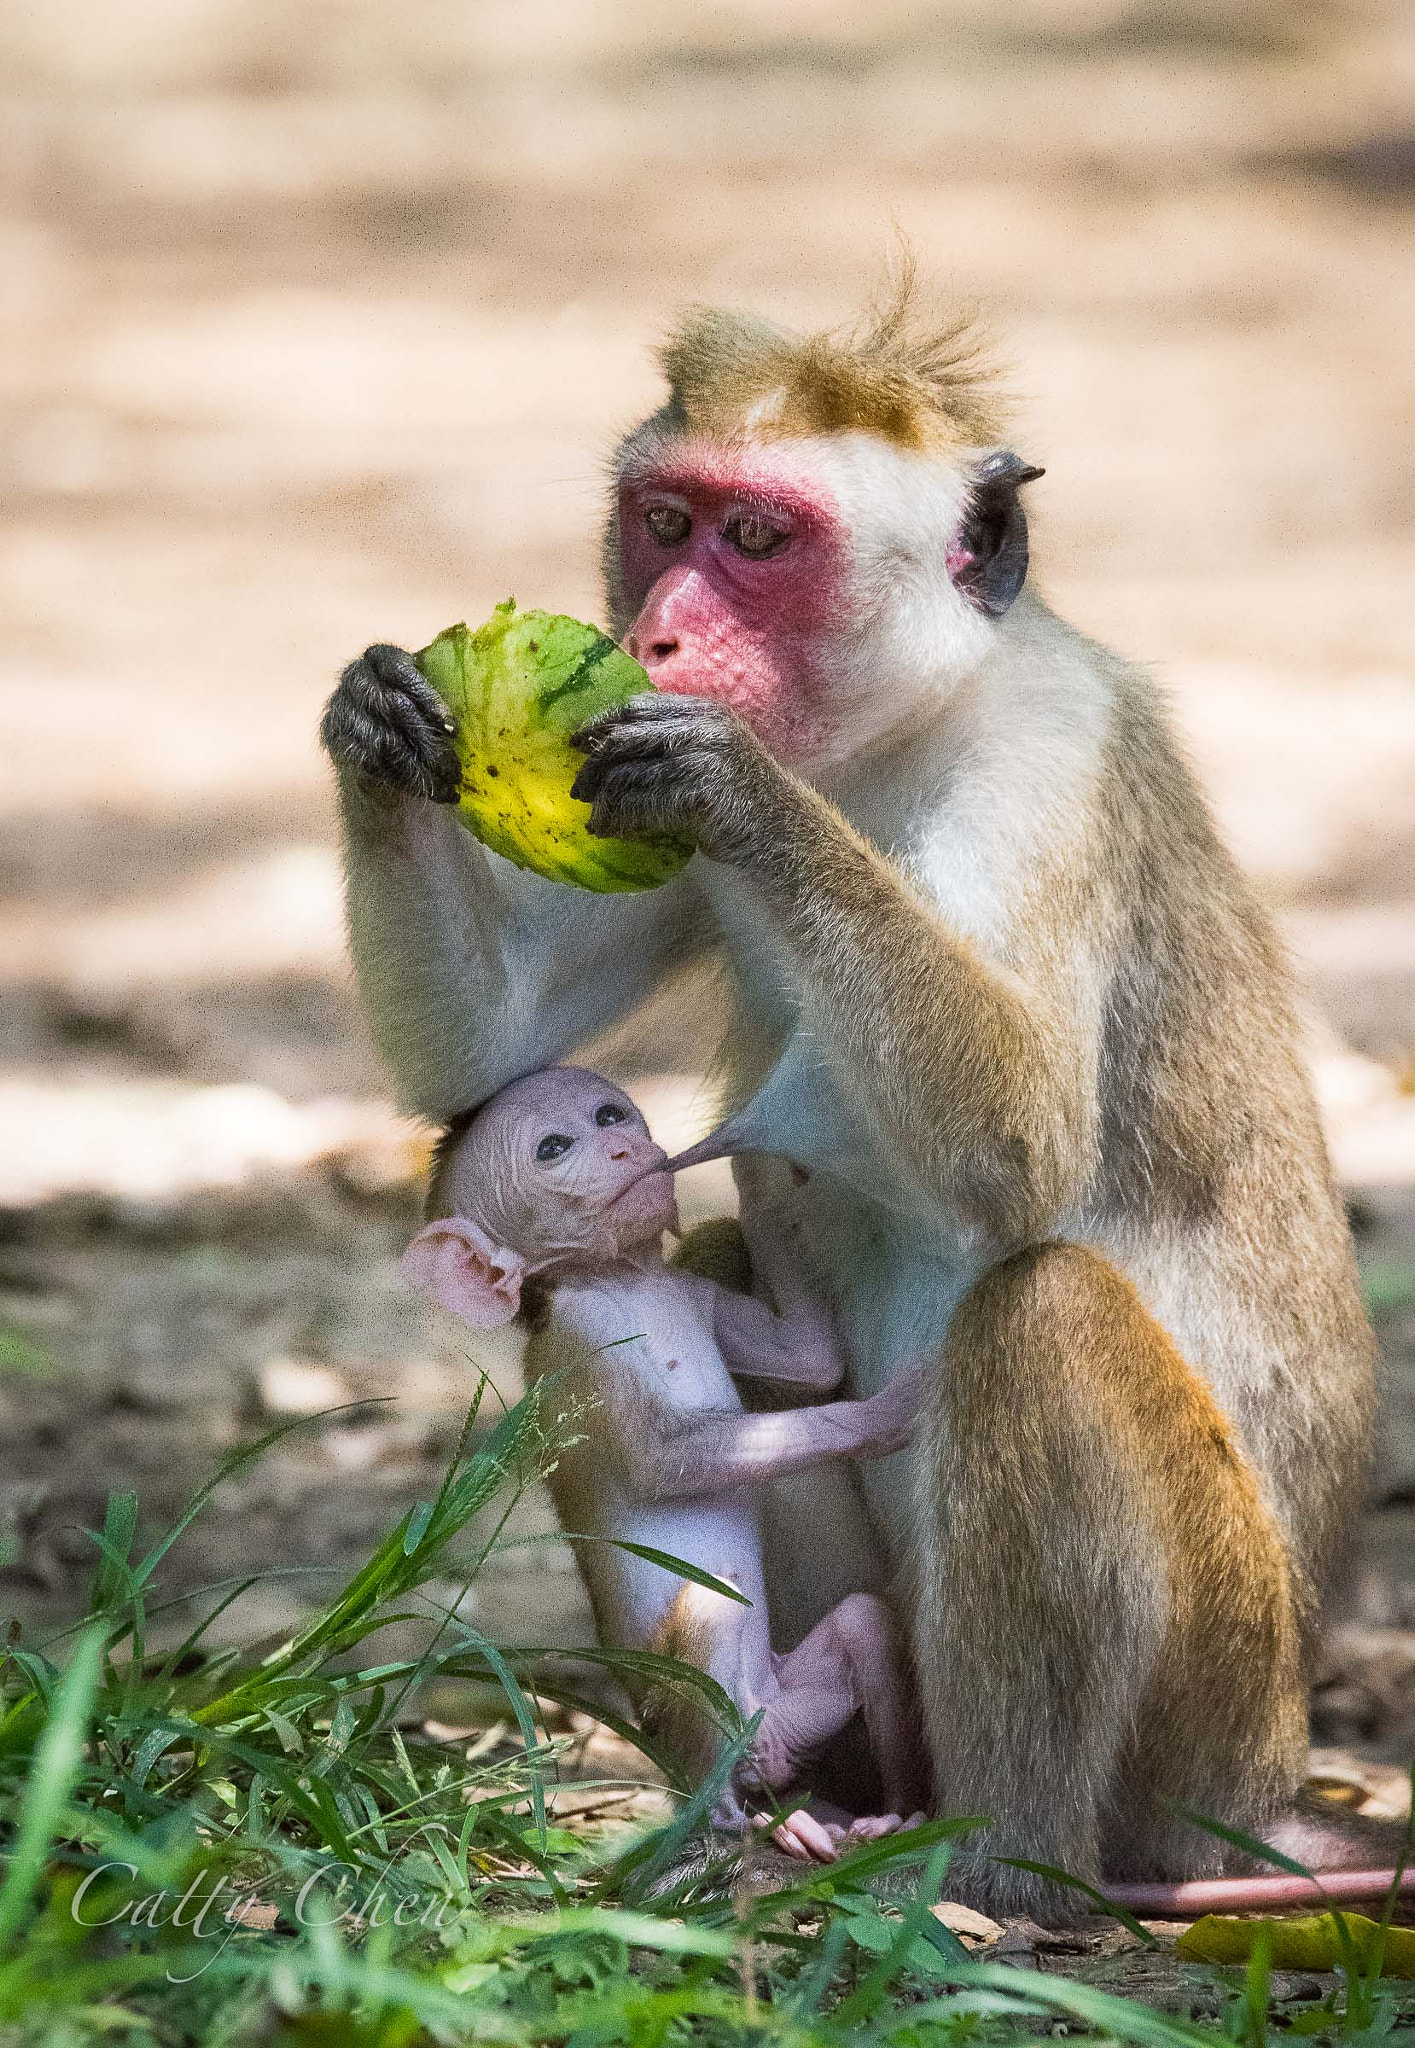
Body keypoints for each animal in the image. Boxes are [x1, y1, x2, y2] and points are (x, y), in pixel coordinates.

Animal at [401, 1064, 929, 1867]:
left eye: (608, 1114)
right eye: (553, 1148)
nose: (625, 1148)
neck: (625, 1281)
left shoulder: (691, 1293)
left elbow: (811, 1360)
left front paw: (763, 1174)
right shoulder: (585, 1347)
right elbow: (667, 1463)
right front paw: (891, 1411)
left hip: (788, 1707)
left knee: (864, 1624)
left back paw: (887, 1813)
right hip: (684, 1710)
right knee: (711, 1608)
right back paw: (740, 1817)